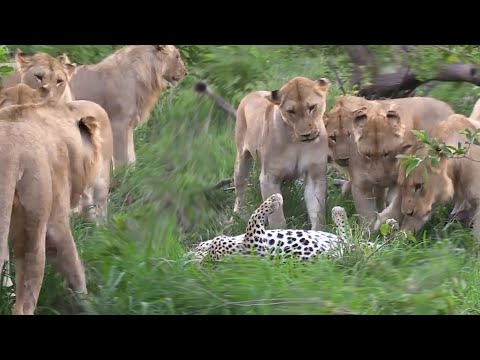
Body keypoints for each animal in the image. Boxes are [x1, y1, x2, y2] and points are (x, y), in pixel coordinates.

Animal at [234, 77, 332, 232]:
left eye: (312, 107)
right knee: (240, 187)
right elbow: (277, 218)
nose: (306, 134)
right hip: (241, 158)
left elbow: (317, 211)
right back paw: (237, 216)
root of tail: (251, 94)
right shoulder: (269, 178)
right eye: (291, 111)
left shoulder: (315, 175)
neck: (297, 143)